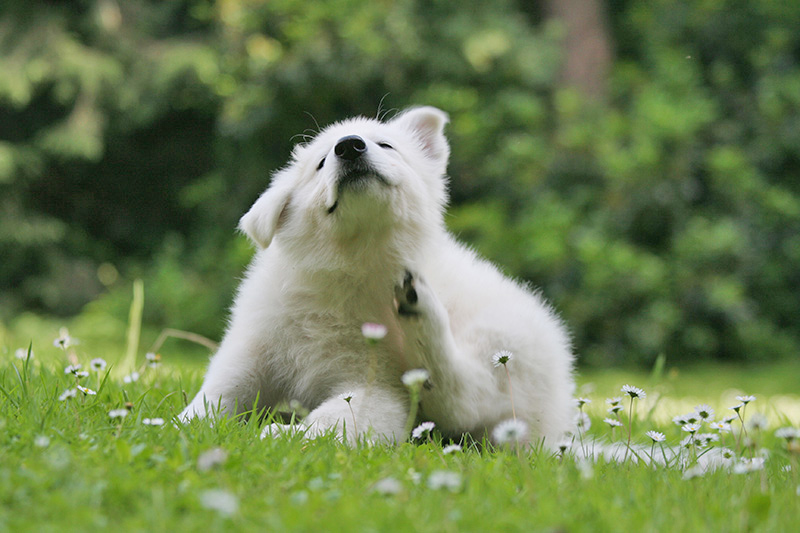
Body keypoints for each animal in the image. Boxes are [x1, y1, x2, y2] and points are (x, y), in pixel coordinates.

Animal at [180, 106, 576, 446]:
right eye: (320, 163)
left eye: (386, 145)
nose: (349, 146)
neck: (351, 266)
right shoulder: (255, 346)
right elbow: (218, 393)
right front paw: (182, 425)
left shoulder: (376, 385)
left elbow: (335, 420)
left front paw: (284, 436)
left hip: (505, 342)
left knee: (464, 397)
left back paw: (420, 308)